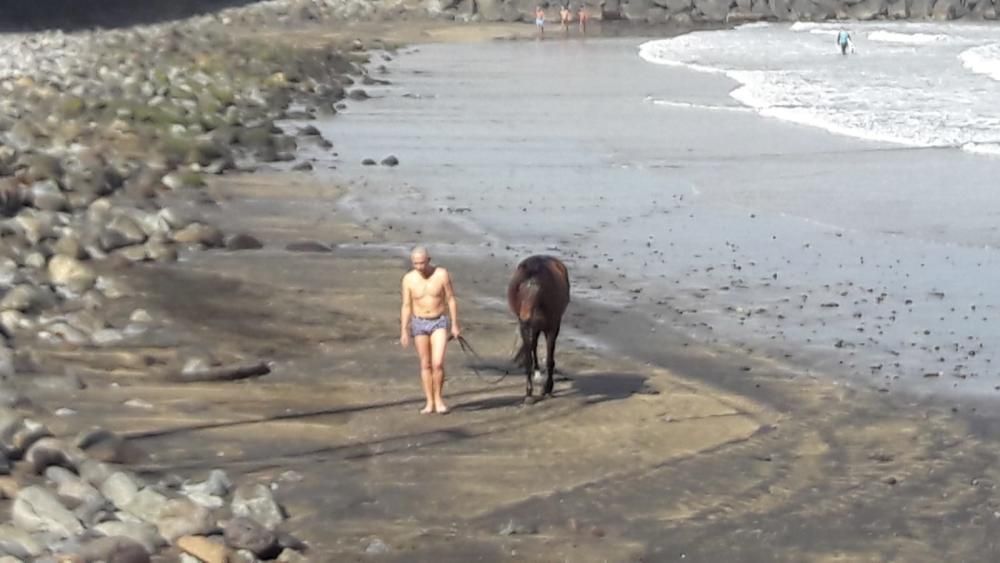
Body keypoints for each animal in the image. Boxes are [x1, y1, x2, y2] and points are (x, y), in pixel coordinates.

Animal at [508, 256, 572, 400]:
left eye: (539, 292)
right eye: (520, 289)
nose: (524, 318)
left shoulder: (552, 328)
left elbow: (549, 360)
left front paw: (547, 388)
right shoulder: (525, 329)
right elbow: (528, 358)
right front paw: (529, 392)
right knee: (533, 346)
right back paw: (536, 374)